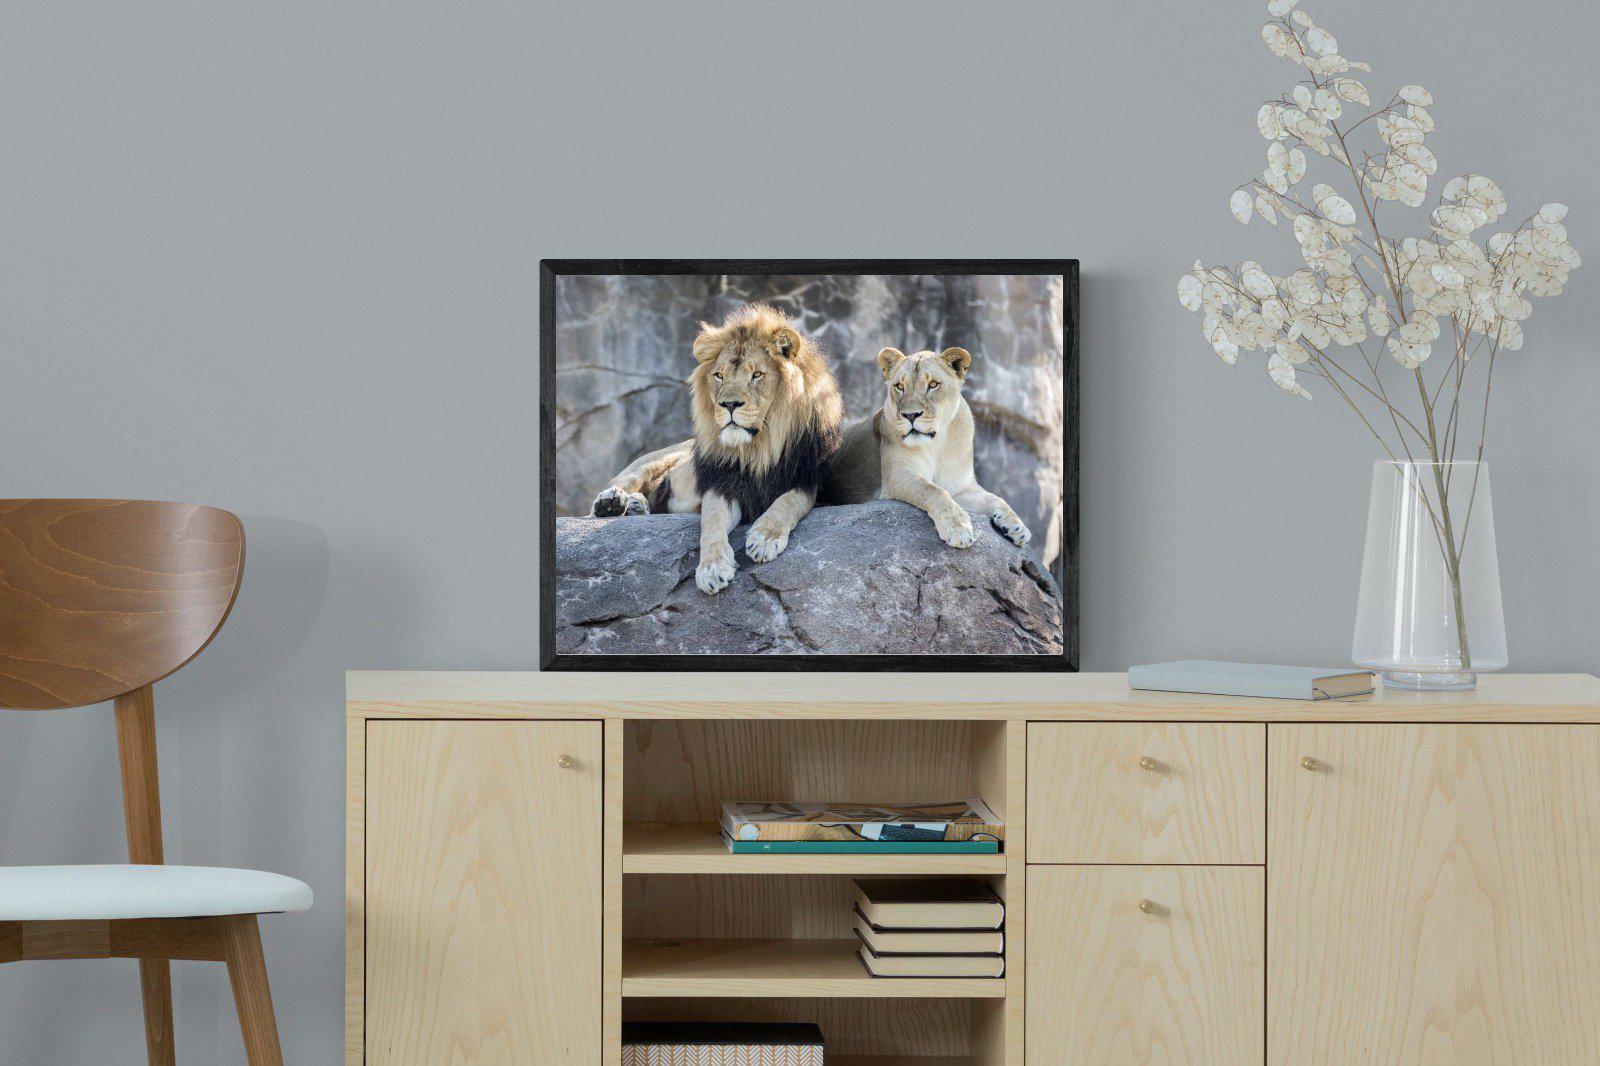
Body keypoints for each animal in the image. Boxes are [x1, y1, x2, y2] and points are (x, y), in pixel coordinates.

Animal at [588, 304, 844, 594]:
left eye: (757, 375)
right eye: (719, 376)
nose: (728, 404)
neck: (758, 448)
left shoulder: (807, 480)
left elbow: (787, 502)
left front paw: (764, 538)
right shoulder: (721, 484)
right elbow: (711, 524)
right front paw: (712, 569)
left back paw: (635, 506)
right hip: (652, 461)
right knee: (618, 485)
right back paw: (612, 503)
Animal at [824, 345, 1031, 550]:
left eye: (933, 384)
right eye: (900, 386)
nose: (910, 415)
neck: (938, 444)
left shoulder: (961, 487)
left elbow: (996, 498)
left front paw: (1017, 527)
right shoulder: (897, 476)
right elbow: (934, 491)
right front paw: (958, 529)